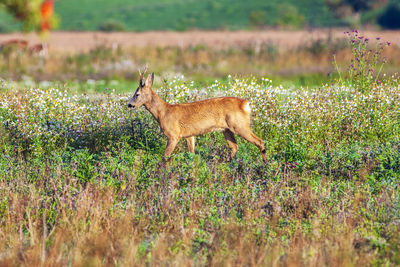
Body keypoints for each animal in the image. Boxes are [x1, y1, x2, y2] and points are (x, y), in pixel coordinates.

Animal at [127, 68, 266, 162]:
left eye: (137, 94)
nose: (129, 104)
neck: (163, 112)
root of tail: (245, 104)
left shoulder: (173, 135)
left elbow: (164, 156)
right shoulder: (189, 135)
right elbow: (191, 154)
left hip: (239, 125)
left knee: (259, 141)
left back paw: (264, 163)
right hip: (226, 129)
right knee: (234, 147)